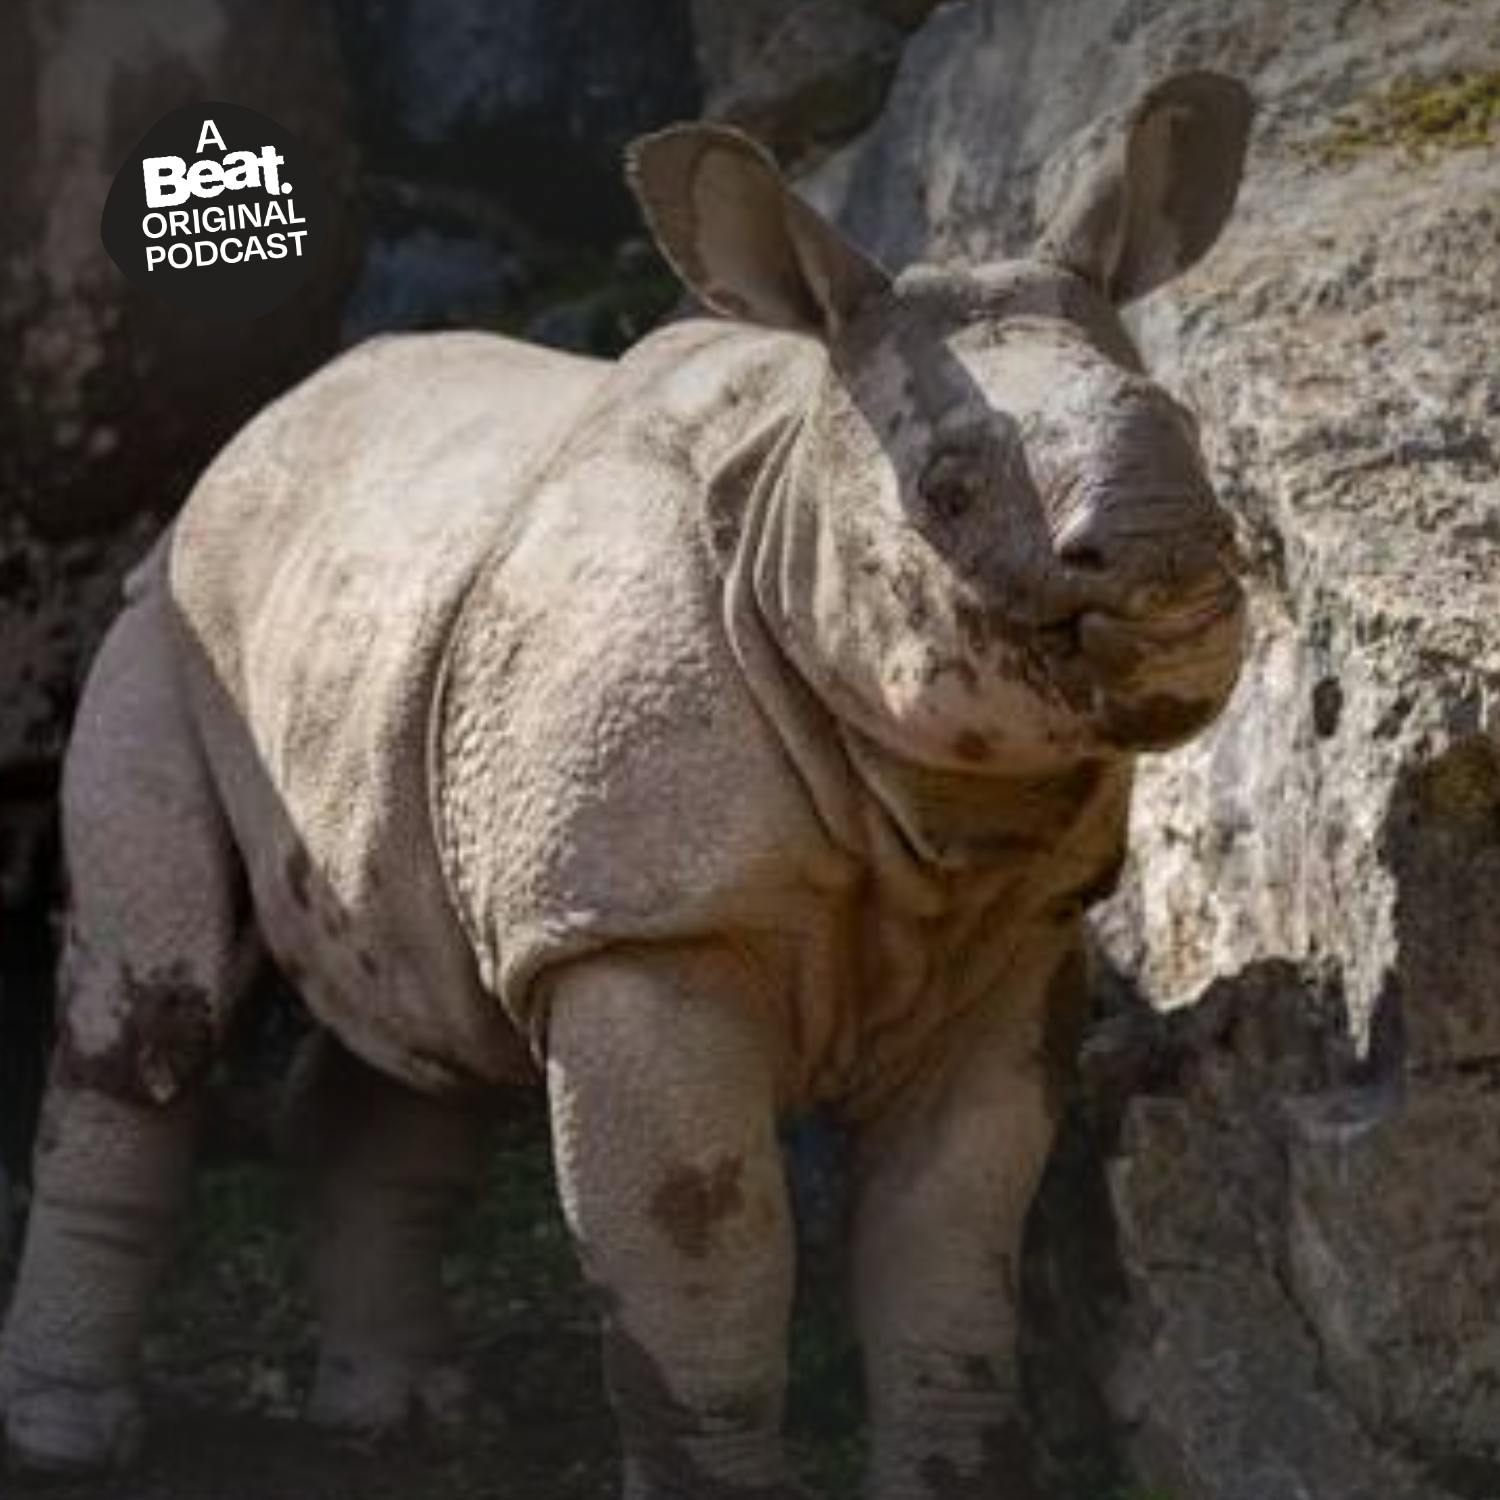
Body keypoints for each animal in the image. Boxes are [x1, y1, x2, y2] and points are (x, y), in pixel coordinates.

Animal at [0, 71, 1252, 1498]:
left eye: (1192, 432)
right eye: (946, 490)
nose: (1170, 564)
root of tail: (253, 428)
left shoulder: (1010, 933)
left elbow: (947, 1252)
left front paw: (953, 1481)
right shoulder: (641, 926)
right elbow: (708, 1247)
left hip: (391, 647)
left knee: (428, 1015)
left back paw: (406, 1419)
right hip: (161, 626)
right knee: (156, 1017)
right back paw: (68, 1443)